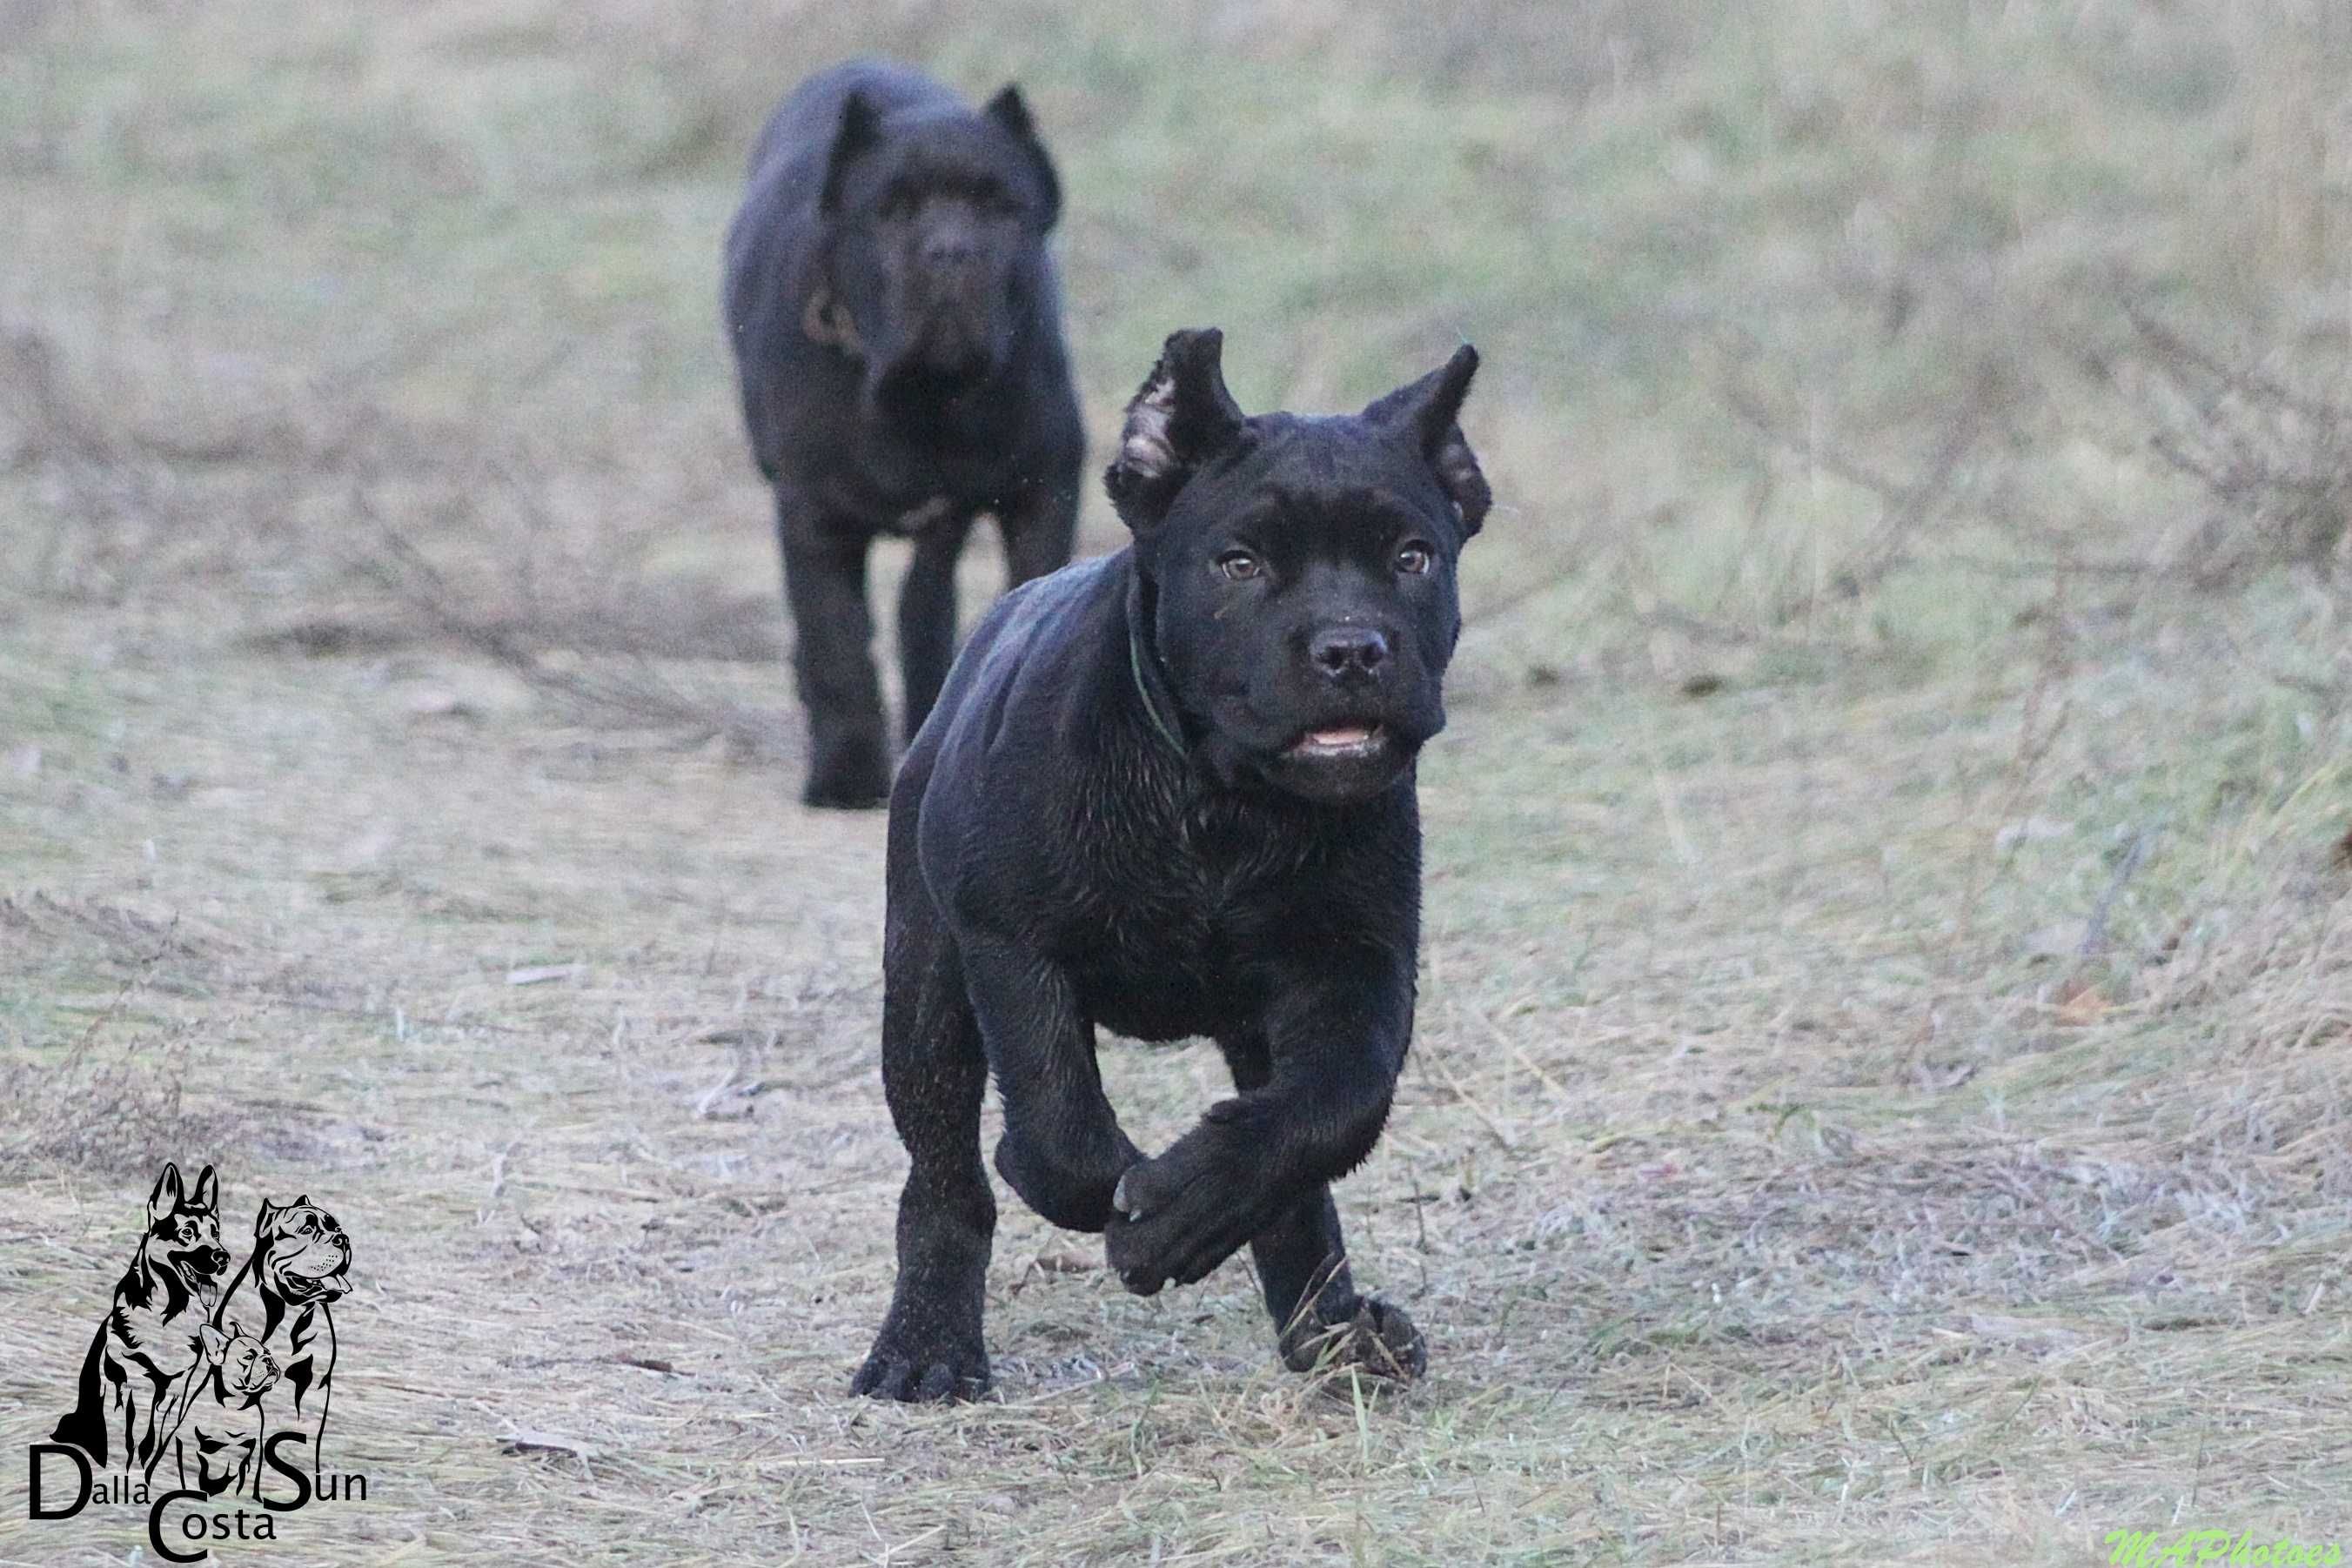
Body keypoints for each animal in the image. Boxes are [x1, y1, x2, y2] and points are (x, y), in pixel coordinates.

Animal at [724, 61, 1082, 808]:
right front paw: (847, 775)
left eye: (1000, 207)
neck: (925, 397)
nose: (949, 252)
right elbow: (836, 640)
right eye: (890, 210)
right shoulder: (814, 514)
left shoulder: (1042, 490)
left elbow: (1027, 595)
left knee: (925, 612)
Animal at [855, 329, 1496, 1401]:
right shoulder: (1008, 939)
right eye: (1240, 563)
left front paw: (1185, 1216)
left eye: (1413, 557)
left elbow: (1328, 1111)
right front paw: (1091, 1192)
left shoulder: (1355, 965)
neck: (1222, 803)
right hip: (926, 985)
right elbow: (1057, 1114)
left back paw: (1335, 1334)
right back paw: (926, 1349)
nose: (1352, 648)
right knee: (942, 1176)